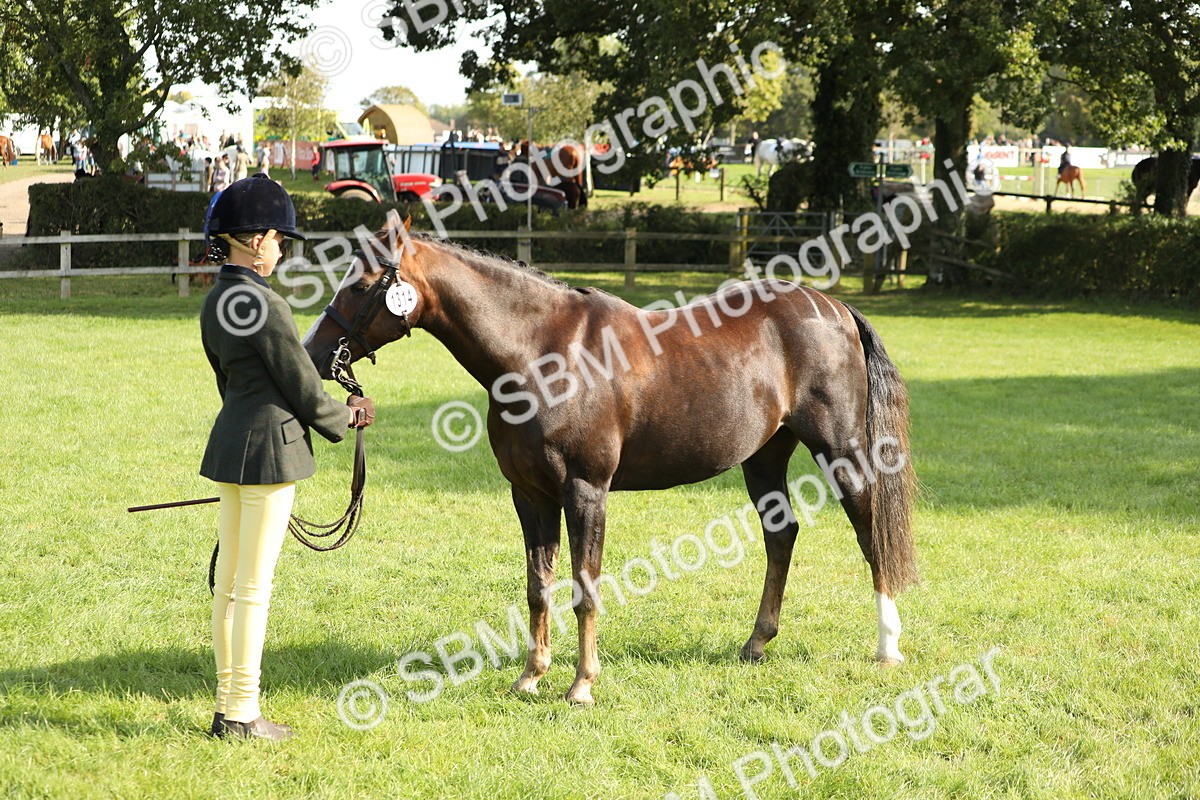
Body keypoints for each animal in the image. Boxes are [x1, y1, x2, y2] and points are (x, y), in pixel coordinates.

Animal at [302, 212, 917, 705]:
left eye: (362, 283)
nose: (314, 351)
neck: (542, 354)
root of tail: (835, 308)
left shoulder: (585, 491)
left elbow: (585, 587)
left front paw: (582, 685)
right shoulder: (530, 495)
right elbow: (539, 586)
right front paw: (530, 677)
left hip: (840, 451)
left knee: (870, 533)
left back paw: (888, 647)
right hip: (764, 459)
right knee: (781, 535)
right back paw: (757, 642)